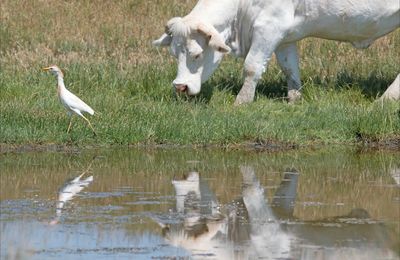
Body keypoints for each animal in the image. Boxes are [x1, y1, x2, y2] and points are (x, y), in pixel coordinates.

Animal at [154, 0, 400, 103]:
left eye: (196, 54)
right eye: (174, 54)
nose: (180, 87)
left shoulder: (269, 27)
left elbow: (252, 67)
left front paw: (241, 102)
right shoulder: (284, 36)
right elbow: (290, 68)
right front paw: (294, 99)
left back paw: (386, 99)